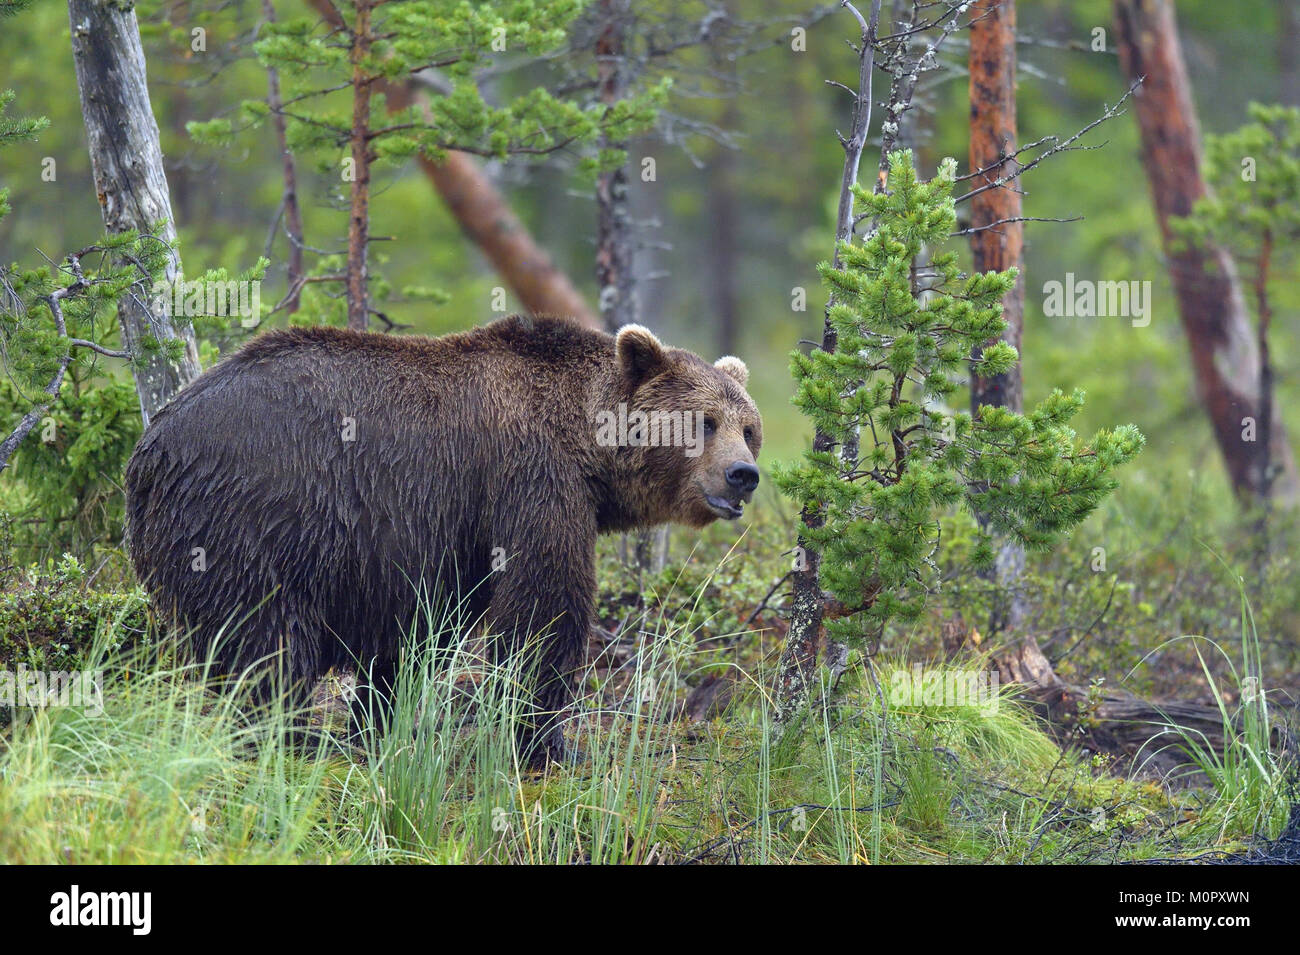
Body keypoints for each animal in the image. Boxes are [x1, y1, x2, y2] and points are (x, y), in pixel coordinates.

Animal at [125, 315, 762, 765]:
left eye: (749, 428)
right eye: (703, 421)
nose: (744, 474)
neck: (588, 449)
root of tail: (150, 448)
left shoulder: (441, 537)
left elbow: (414, 633)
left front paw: (376, 722)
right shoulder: (529, 479)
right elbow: (543, 606)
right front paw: (551, 743)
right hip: (249, 517)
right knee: (264, 642)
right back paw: (283, 736)